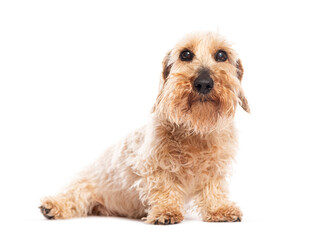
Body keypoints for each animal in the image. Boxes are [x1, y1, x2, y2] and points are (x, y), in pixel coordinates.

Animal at [40, 31, 250, 225]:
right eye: (185, 54)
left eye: (222, 55)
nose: (204, 83)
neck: (196, 130)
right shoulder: (154, 164)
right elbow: (164, 186)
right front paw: (166, 211)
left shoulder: (215, 168)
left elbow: (213, 188)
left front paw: (219, 208)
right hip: (84, 186)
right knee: (72, 196)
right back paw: (52, 206)